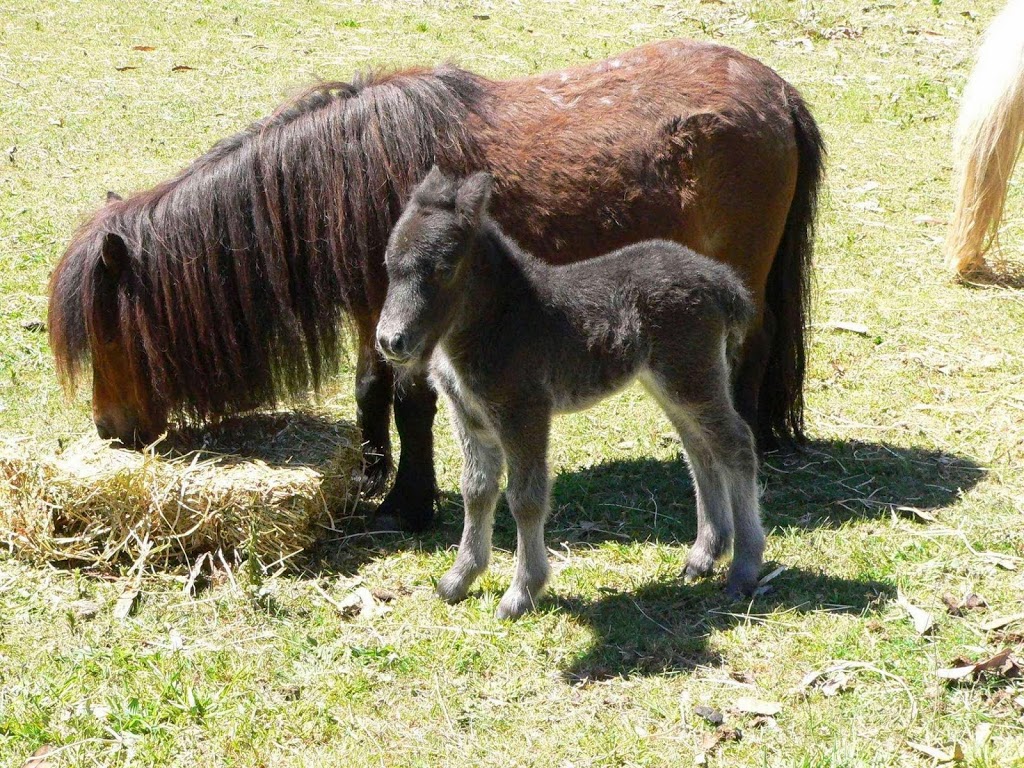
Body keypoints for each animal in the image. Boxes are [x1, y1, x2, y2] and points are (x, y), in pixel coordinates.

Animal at [48, 39, 823, 532]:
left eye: (109, 335)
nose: (110, 431)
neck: (350, 181)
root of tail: (777, 89)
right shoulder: (377, 313)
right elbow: (370, 393)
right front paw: (367, 479)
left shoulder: (419, 318)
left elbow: (411, 404)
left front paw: (410, 505)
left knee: (751, 351)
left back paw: (747, 443)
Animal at [374, 166, 761, 618]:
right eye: (388, 264)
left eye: (445, 268)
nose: (391, 341)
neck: (500, 317)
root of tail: (721, 281)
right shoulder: (468, 415)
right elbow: (477, 490)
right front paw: (459, 578)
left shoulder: (523, 409)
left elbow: (525, 497)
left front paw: (521, 593)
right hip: (669, 380)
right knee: (700, 449)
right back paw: (703, 556)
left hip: (691, 372)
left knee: (735, 443)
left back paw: (745, 568)